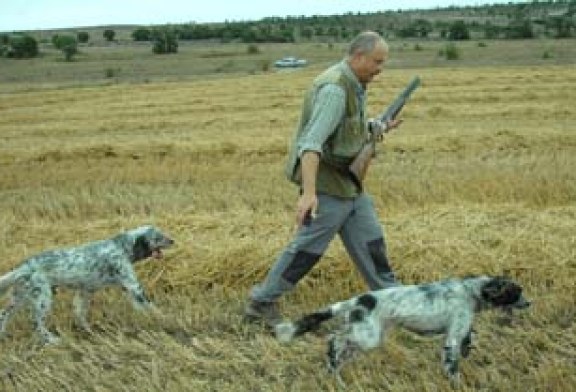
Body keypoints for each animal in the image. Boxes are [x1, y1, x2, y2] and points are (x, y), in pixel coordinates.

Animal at [0, 225, 173, 344]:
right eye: (158, 237)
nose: (173, 240)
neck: (122, 247)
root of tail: (24, 266)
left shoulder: (85, 291)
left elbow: (79, 313)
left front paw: (89, 332)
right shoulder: (133, 286)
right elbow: (153, 308)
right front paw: (166, 321)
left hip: (20, 296)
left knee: (4, 314)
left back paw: (3, 335)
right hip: (43, 298)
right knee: (35, 322)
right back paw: (52, 340)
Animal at [274, 276, 532, 386]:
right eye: (517, 292)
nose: (530, 303)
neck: (471, 291)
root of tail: (358, 300)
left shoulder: (459, 331)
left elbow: (468, 340)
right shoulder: (452, 337)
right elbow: (453, 364)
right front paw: (457, 382)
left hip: (365, 337)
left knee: (339, 350)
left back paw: (334, 374)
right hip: (367, 336)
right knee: (334, 339)